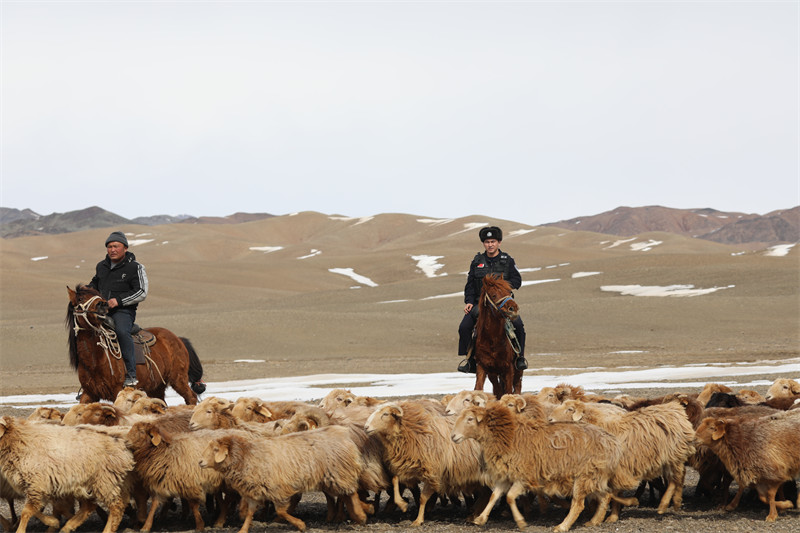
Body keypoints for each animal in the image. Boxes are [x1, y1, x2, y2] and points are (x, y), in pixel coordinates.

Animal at [0, 416, 133, 532]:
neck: (19, 439)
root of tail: (122, 445)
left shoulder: (36, 484)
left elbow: (27, 511)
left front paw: (20, 530)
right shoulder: (38, 486)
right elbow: (34, 510)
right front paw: (53, 522)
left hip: (104, 480)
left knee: (117, 507)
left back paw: (106, 530)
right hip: (84, 482)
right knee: (89, 506)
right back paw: (68, 527)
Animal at [67, 282, 205, 404]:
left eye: (97, 295)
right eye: (80, 298)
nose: (102, 304)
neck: (96, 359)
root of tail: (178, 339)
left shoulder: (118, 391)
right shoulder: (90, 393)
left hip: (178, 379)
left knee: (191, 397)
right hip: (157, 387)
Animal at [198, 422, 368, 528]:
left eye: (215, 450)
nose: (200, 462)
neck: (247, 456)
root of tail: (342, 432)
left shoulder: (278, 489)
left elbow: (280, 511)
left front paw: (300, 525)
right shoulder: (254, 491)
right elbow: (249, 513)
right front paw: (243, 529)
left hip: (339, 472)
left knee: (351, 493)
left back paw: (361, 515)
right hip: (333, 476)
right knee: (346, 494)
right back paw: (363, 511)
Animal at [454, 402, 636, 528]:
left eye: (470, 419)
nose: (453, 436)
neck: (508, 436)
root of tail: (613, 442)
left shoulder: (524, 476)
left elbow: (510, 497)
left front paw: (521, 522)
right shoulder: (508, 475)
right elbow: (495, 496)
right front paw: (480, 519)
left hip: (584, 476)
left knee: (578, 504)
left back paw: (562, 526)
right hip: (595, 476)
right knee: (605, 496)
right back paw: (594, 521)